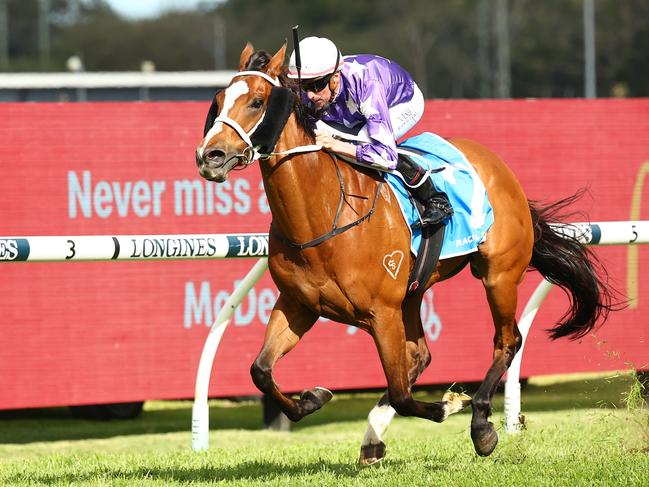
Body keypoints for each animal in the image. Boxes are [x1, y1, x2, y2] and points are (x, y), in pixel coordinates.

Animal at [195, 43, 616, 466]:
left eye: (257, 101)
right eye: (217, 101)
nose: (209, 155)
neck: (321, 215)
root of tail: (498, 166)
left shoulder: (381, 312)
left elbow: (401, 392)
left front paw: (449, 405)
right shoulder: (300, 305)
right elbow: (261, 371)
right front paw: (312, 398)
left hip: (498, 274)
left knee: (507, 341)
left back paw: (480, 423)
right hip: (413, 292)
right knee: (420, 356)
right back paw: (373, 439)